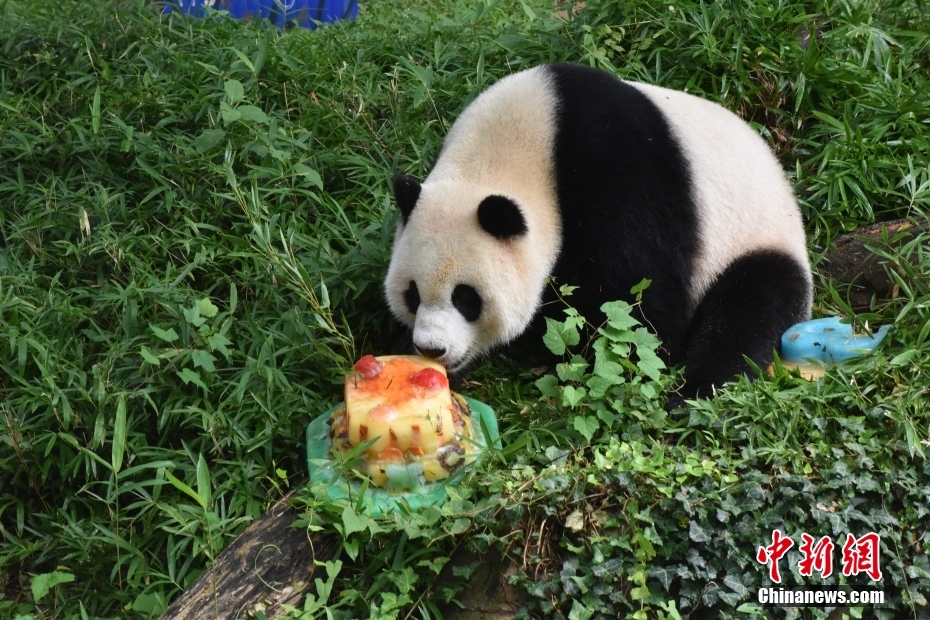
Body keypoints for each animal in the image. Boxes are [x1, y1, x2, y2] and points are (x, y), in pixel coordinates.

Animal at [380, 63, 808, 402]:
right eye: (412, 294)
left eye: (466, 297)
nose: (432, 348)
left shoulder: (619, 172)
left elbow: (638, 298)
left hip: (753, 236)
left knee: (750, 307)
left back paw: (695, 388)